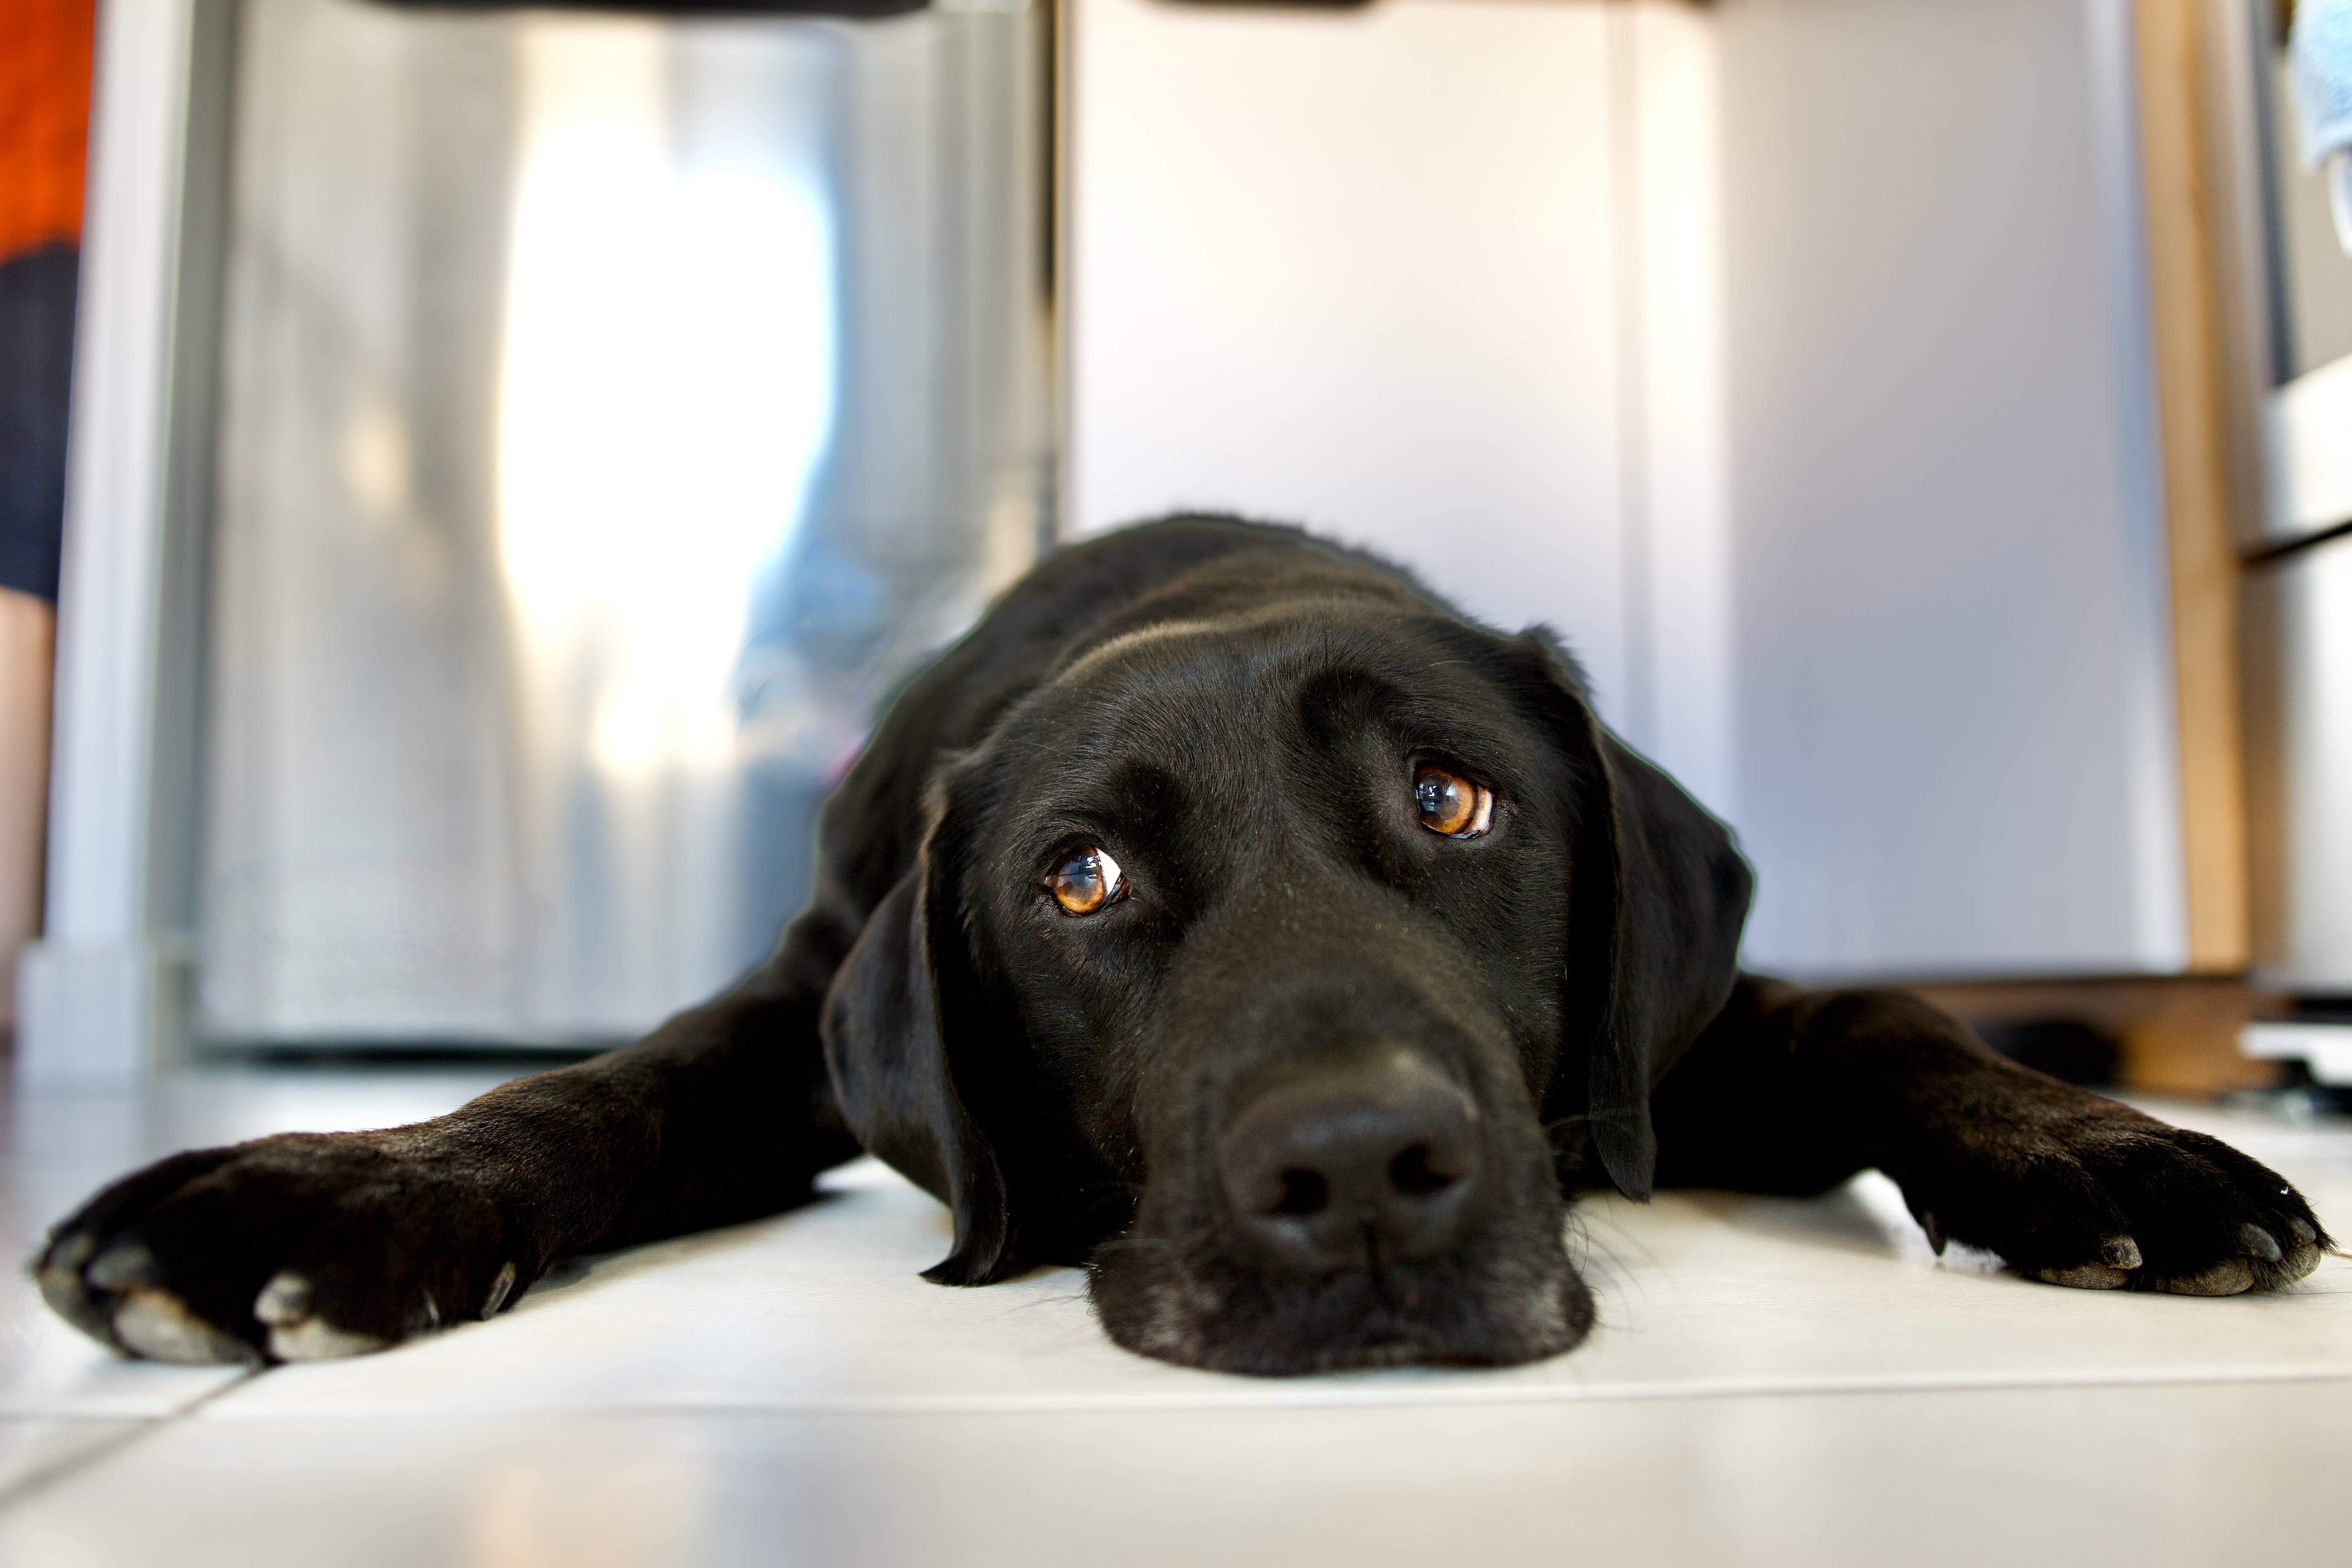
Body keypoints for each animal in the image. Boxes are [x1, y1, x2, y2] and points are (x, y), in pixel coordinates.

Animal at [37, 517, 2333, 1373]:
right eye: (1077, 882)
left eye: (1452, 801)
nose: (1360, 1175)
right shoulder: (789, 1009)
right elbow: (600, 1088)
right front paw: (329, 1191)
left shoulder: (1671, 1051)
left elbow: (1884, 1012)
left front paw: (2109, 1152)